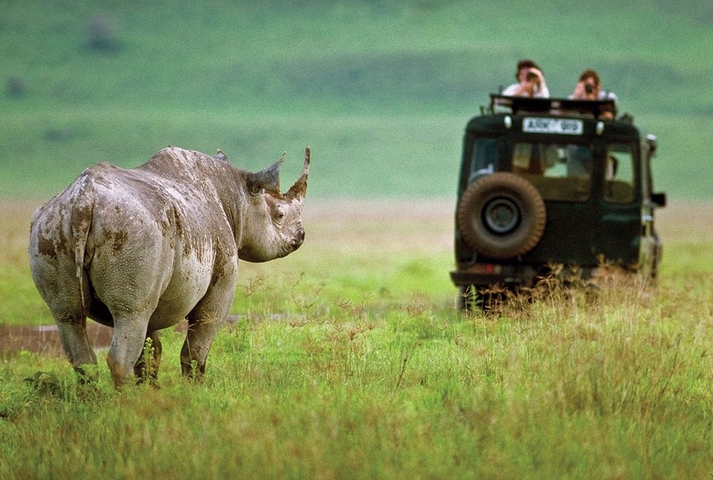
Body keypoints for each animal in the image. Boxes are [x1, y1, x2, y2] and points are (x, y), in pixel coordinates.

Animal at [29, 146, 310, 388]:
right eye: (279, 215)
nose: (301, 236)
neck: (236, 195)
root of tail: (83, 201)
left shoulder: (155, 284)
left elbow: (150, 352)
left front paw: (152, 392)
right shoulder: (221, 280)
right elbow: (197, 345)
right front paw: (194, 390)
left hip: (50, 228)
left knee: (69, 316)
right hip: (133, 231)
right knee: (129, 315)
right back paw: (124, 406)